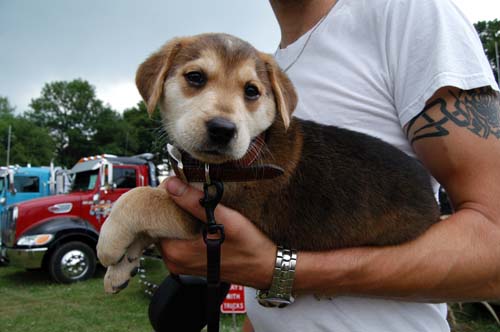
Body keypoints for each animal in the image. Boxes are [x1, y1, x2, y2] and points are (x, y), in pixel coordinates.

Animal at [95, 33, 440, 294]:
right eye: (195, 77)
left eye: (252, 91)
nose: (222, 130)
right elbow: (146, 224)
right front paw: (121, 268)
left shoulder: (205, 218)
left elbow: (140, 198)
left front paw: (108, 244)